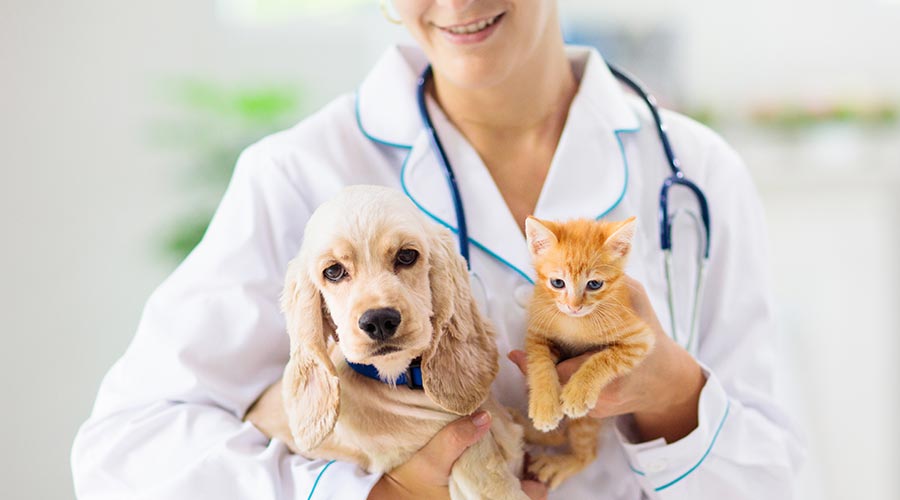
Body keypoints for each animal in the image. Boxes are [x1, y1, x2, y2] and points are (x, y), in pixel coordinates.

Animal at [520, 215, 652, 488]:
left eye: (594, 284)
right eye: (557, 283)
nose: (574, 306)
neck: (574, 323)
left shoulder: (640, 338)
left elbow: (604, 358)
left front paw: (578, 392)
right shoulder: (537, 333)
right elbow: (539, 364)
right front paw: (545, 405)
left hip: (588, 421)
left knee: (588, 453)